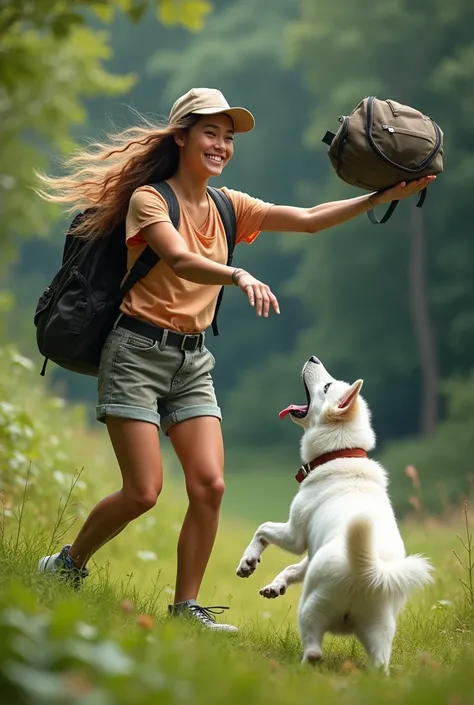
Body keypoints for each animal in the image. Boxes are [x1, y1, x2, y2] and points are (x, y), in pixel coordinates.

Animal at [235, 358, 432, 672]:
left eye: (327, 387)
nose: (313, 358)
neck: (341, 452)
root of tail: (365, 571)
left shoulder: (295, 534)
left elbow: (263, 529)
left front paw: (248, 561)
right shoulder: (311, 552)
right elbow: (293, 568)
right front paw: (275, 586)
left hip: (311, 608)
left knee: (314, 649)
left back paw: (302, 668)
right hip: (380, 628)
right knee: (380, 664)